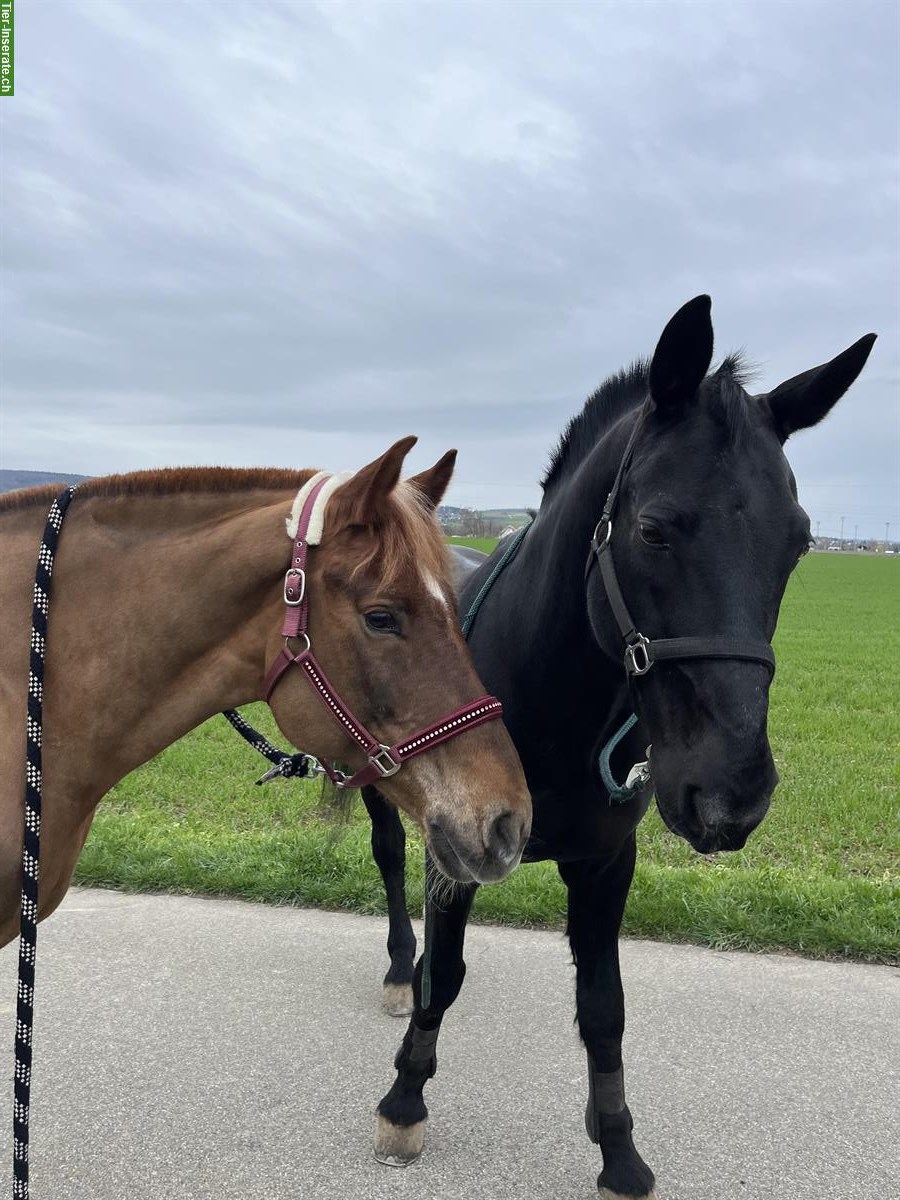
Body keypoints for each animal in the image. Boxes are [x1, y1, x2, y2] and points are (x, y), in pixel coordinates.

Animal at [362, 295, 878, 1195]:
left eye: (801, 540)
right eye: (653, 529)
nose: (732, 792)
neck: (546, 705)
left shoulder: (607, 862)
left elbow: (605, 1007)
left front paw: (619, 1149)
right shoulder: (454, 850)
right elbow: (444, 978)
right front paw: (405, 1098)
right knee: (389, 860)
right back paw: (398, 967)